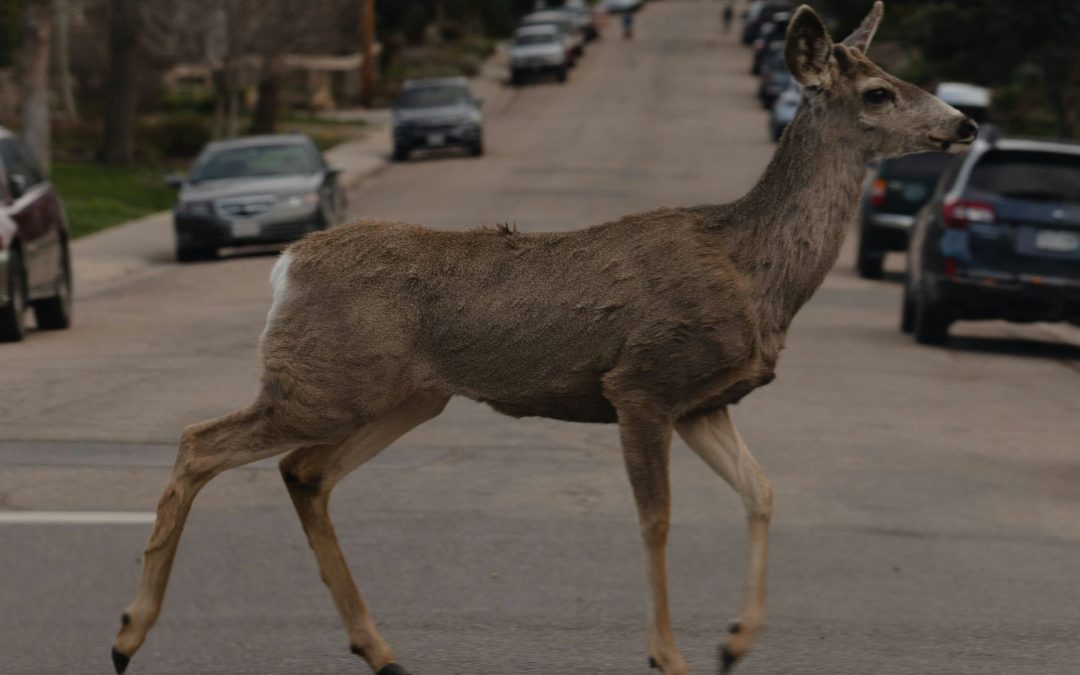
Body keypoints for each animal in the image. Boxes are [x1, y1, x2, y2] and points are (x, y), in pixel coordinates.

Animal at [111, 2, 980, 669]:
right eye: (878, 92)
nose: (966, 122)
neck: (753, 267)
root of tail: (287, 262)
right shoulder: (641, 383)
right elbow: (656, 518)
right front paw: (669, 653)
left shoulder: (705, 401)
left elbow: (762, 490)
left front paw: (736, 639)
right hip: (326, 380)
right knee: (200, 440)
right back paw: (128, 632)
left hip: (404, 396)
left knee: (303, 470)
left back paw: (378, 648)